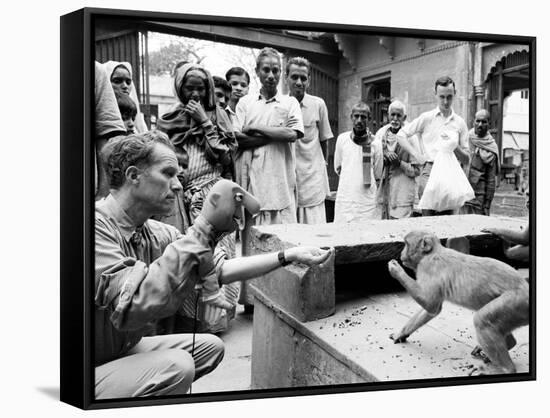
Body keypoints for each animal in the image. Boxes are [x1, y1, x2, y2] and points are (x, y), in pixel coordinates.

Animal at [388, 230, 532, 374]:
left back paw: (507, 369)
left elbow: (430, 304)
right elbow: (432, 310)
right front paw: (401, 334)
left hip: (515, 302)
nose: (401, 253)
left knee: (482, 320)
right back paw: (509, 344)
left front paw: (396, 270)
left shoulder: (427, 267)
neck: (432, 253)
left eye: (406, 244)